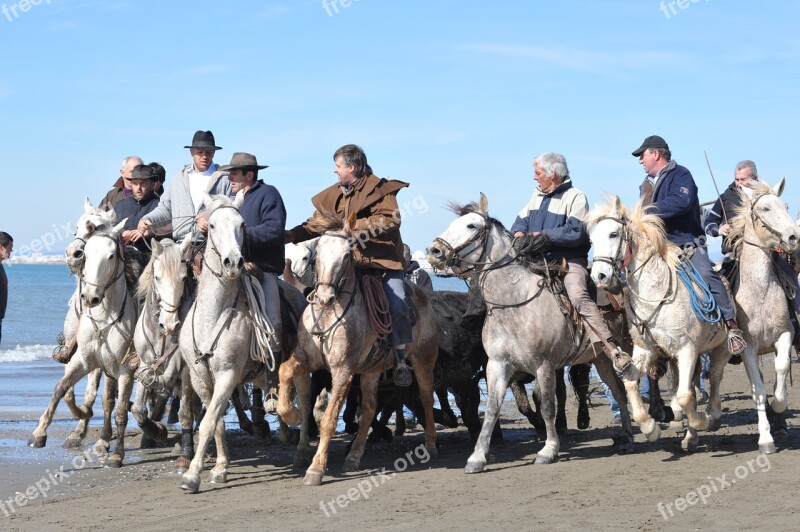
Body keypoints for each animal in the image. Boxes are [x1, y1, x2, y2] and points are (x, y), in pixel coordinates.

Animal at [29, 220, 139, 466]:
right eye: (87, 254)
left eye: (111, 255)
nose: (90, 297)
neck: (105, 316)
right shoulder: (85, 361)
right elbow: (62, 390)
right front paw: (40, 433)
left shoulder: (125, 370)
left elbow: (120, 411)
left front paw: (118, 454)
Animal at [720, 181, 796, 450]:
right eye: (765, 208)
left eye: (785, 205)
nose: (793, 236)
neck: (760, 292)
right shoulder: (748, 349)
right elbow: (759, 390)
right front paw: (765, 438)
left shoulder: (784, 335)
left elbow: (781, 369)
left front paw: (778, 408)